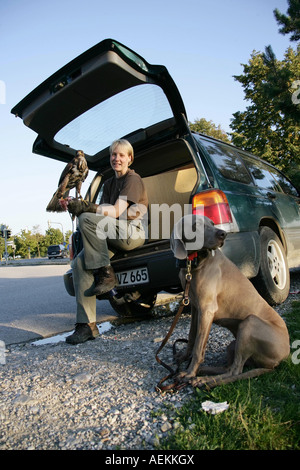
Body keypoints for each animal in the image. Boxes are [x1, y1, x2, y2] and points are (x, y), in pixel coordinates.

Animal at [171, 215, 290, 388]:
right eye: (196, 225)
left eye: (212, 223)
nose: (223, 234)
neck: (194, 264)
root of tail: (281, 359)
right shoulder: (195, 307)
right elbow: (192, 336)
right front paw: (184, 359)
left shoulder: (207, 309)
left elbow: (199, 347)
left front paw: (189, 373)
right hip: (233, 344)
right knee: (229, 367)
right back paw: (204, 372)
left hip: (249, 324)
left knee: (235, 371)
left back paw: (204, 380)